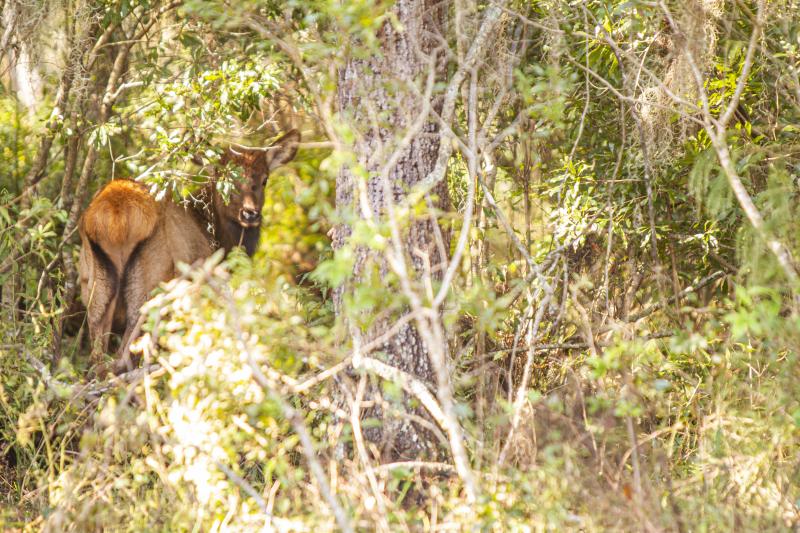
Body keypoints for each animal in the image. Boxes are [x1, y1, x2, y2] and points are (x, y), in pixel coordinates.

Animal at [79, 130, 300, 372]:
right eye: (224, 179)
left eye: (264, 179)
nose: (250, 213)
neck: (217, 238)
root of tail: (115, 216)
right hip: (150, 286)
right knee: (124, 356)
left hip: (95, 289)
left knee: (98, 359)